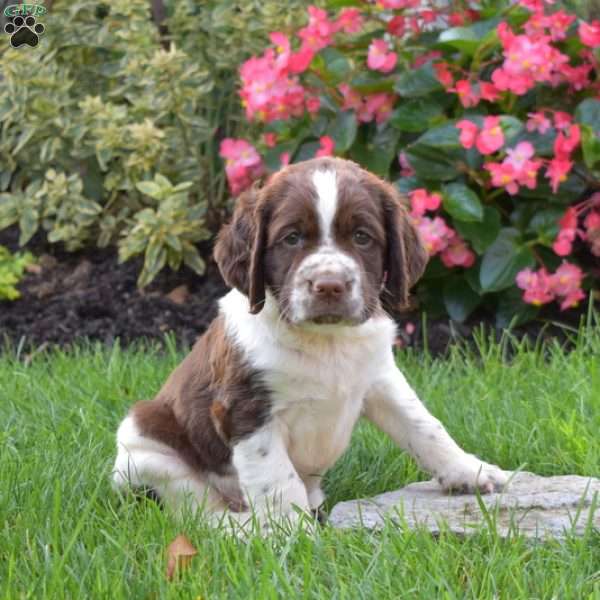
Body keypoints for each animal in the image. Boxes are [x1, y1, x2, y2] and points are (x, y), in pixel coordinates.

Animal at [111, 156, 506, 528]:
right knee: (198, 509)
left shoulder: (380, 379)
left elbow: (423, 425)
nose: (329, 285)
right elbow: (276, 478)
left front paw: (470, 471)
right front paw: (291, 531)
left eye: (362, 237)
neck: (327, 341)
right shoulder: (248, 409)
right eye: (292, 238)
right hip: (145, 451)